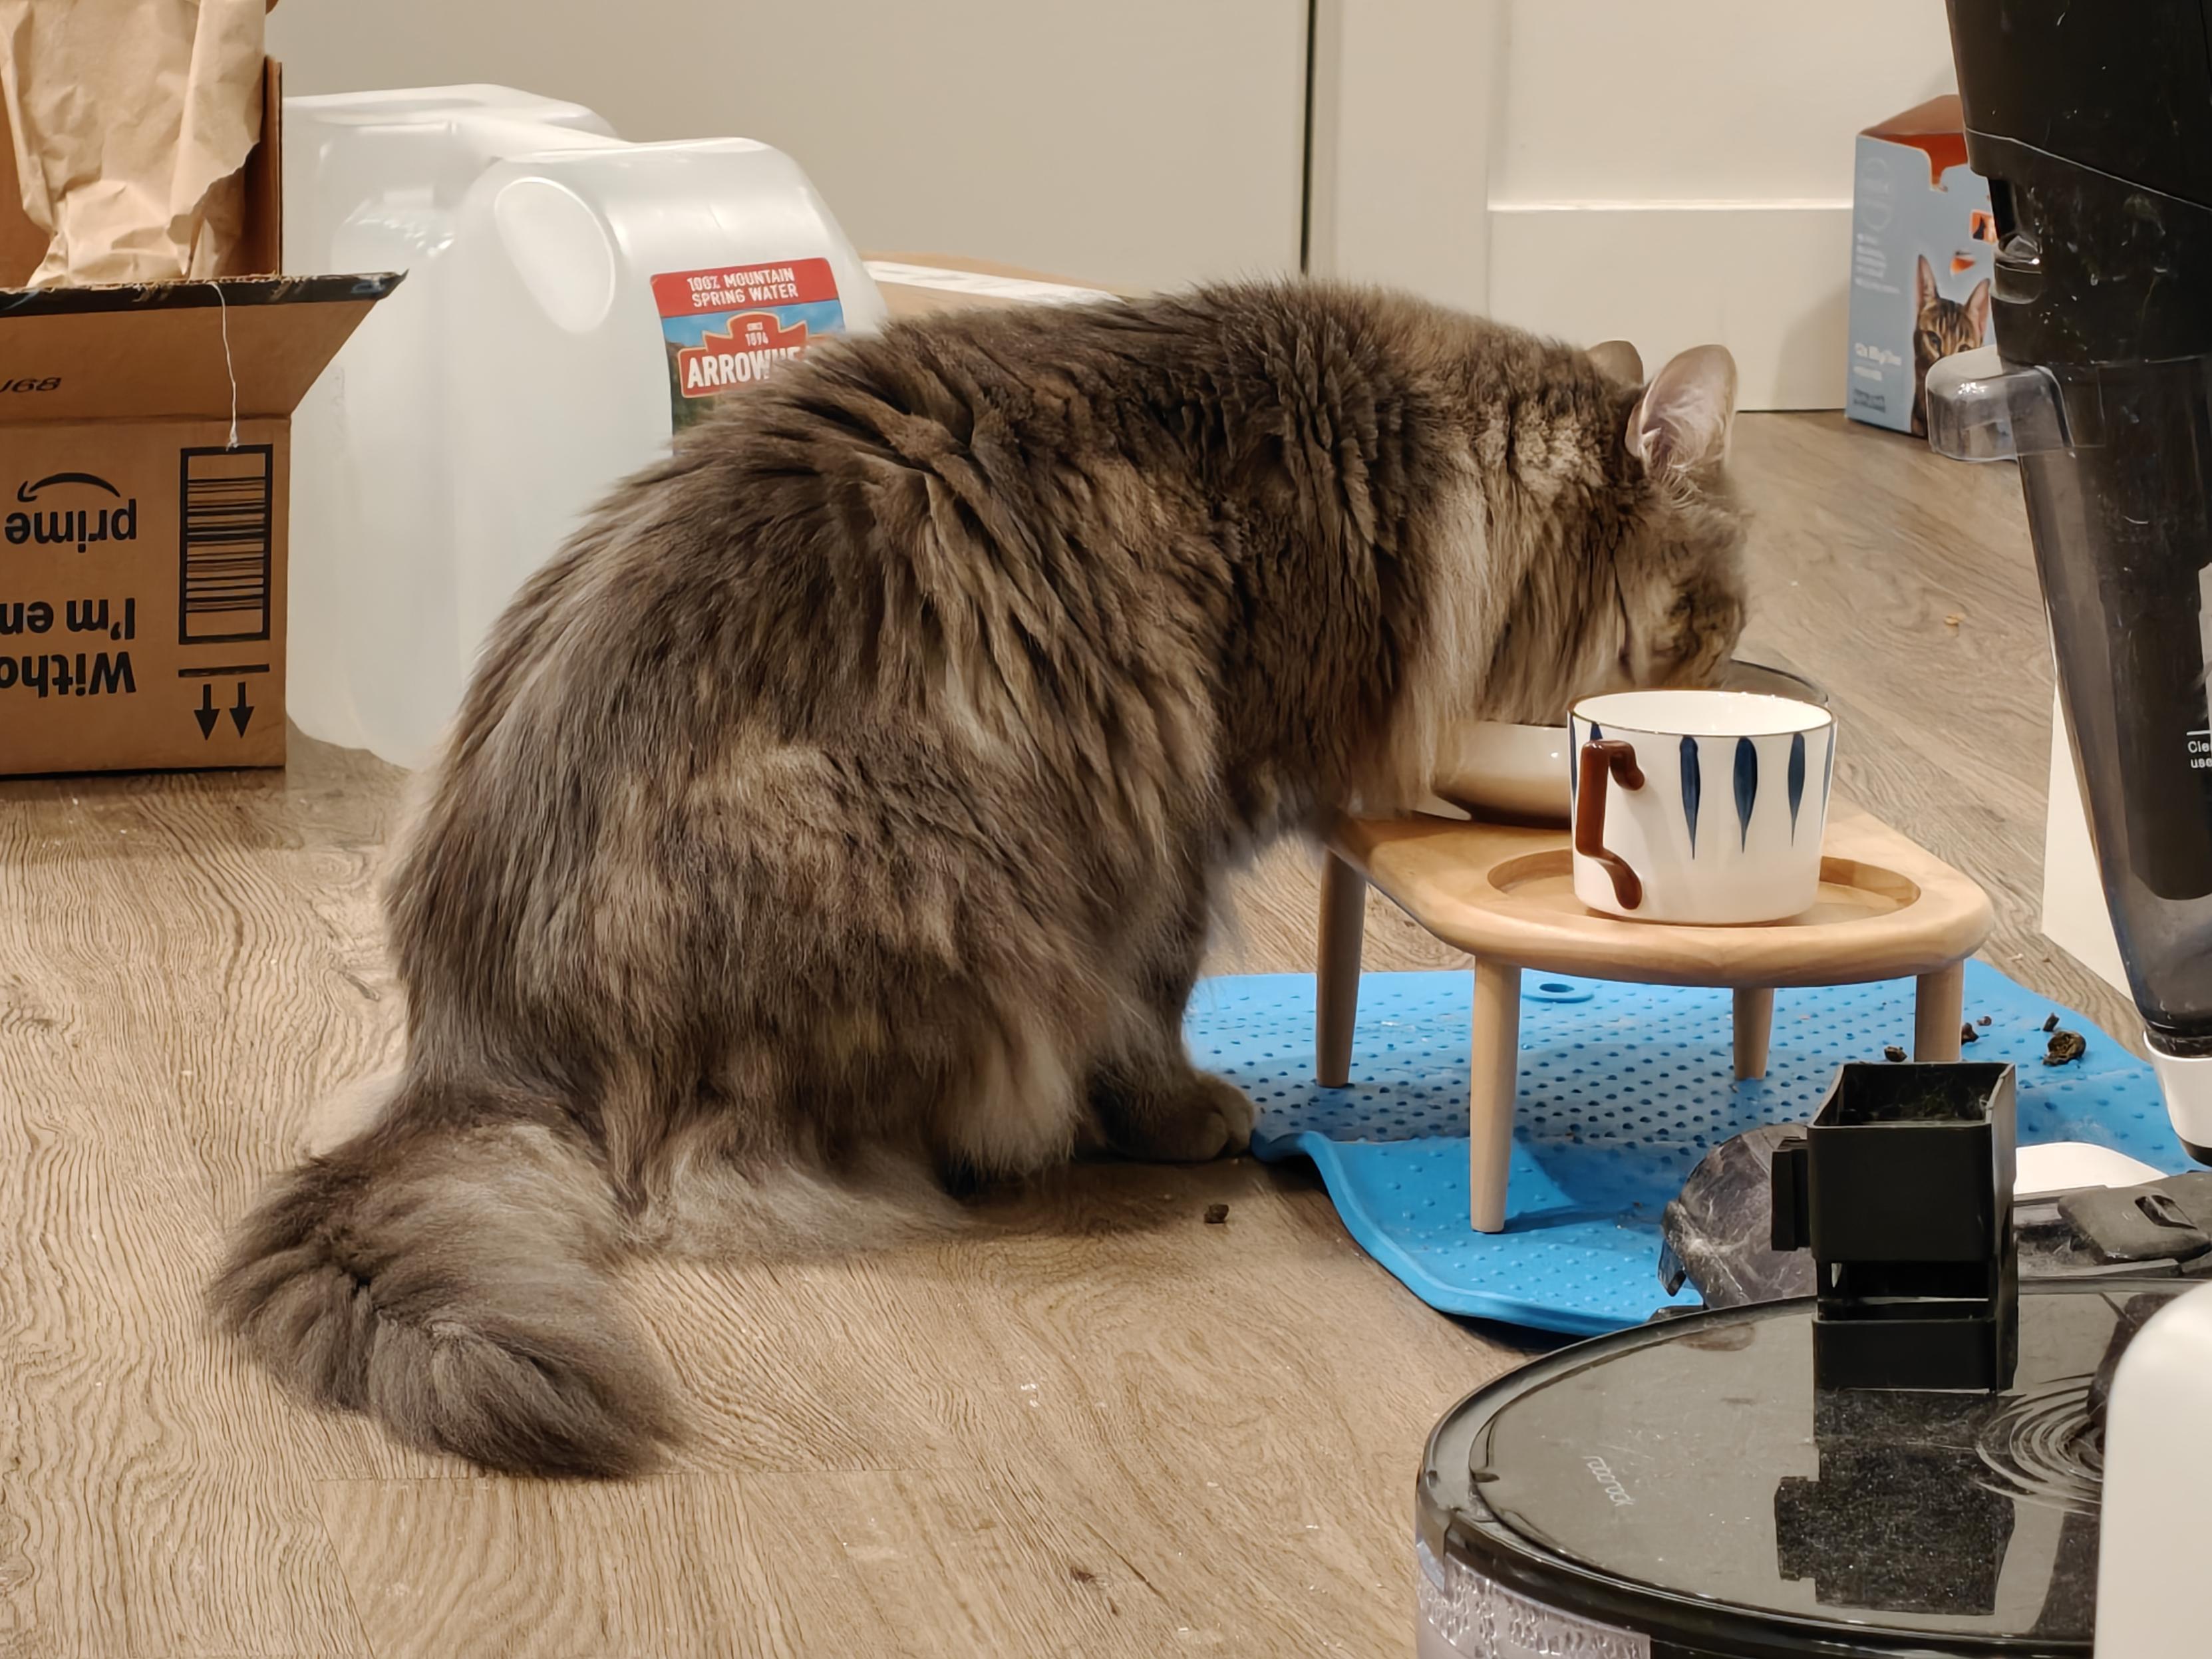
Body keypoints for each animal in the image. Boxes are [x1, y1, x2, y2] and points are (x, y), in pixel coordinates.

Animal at [210, 281, 1749, 1479]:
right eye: (1717, 610)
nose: (1734, 664)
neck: (1413, 463)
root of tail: (476, 1047)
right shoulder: (1188, 812)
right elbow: (1155, 999)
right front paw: (1187, 1112)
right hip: (943, 858)